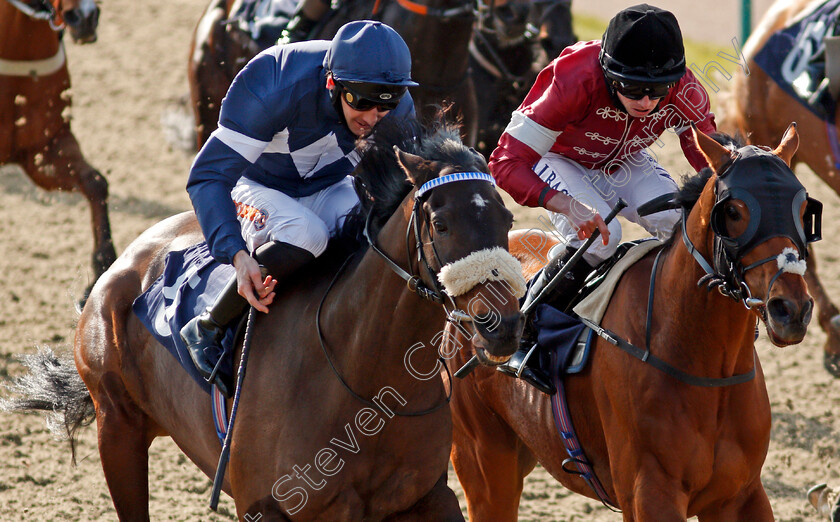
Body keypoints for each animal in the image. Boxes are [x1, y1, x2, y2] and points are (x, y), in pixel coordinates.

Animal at [4, 119, 524, 520]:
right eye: (441, 223)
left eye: (508, 220)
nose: (503, 326)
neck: (362, 377)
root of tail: (125, 261)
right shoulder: (269, 506)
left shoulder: (425, 496)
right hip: (118, 429)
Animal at [450, 124, 816, 516]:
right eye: (733, 211)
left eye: (803, 208)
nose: (790, 309)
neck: (706, 369)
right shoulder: (649, 494)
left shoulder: (741, 494)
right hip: (485, 462)